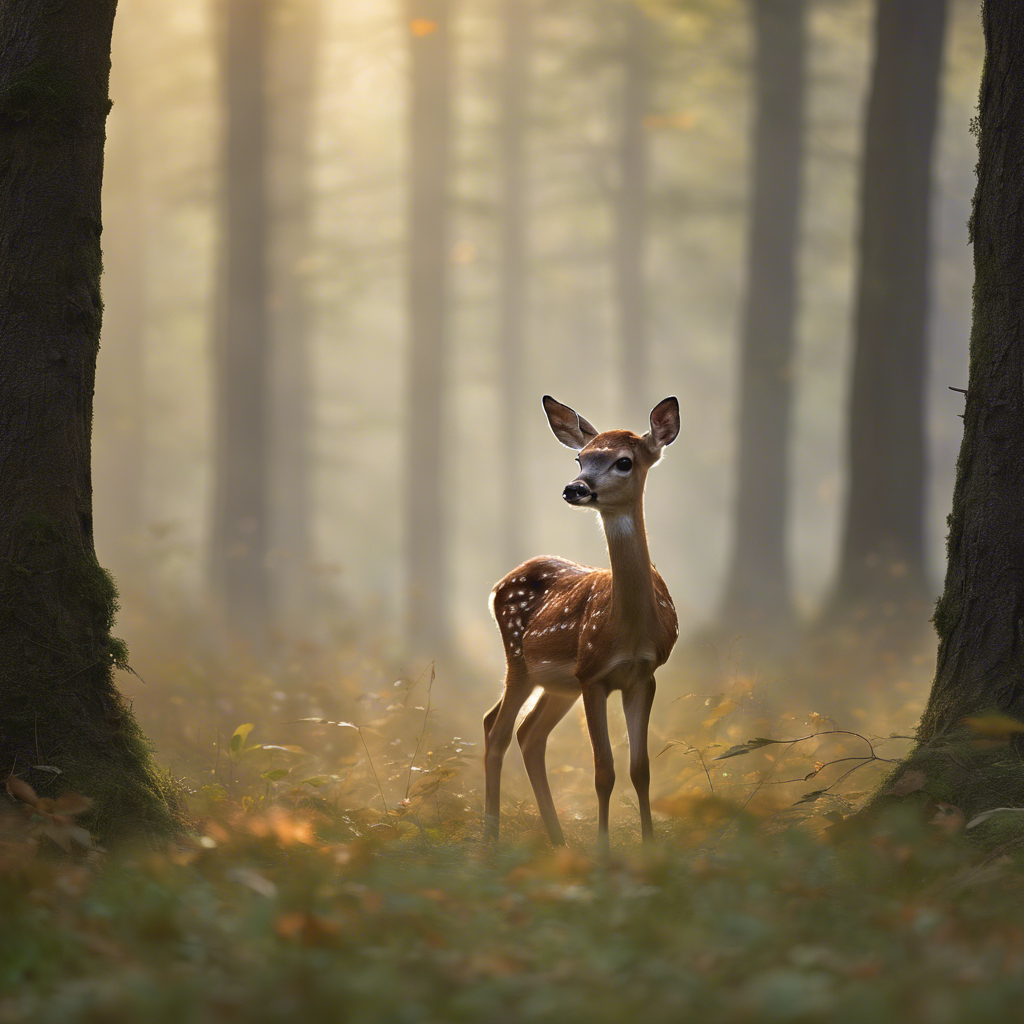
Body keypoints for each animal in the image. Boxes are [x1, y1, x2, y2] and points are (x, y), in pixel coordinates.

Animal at [484, 395, 680, 846]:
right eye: (580, 457)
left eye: (624, 461)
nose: (575, 488)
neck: (627, 632)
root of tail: (498, 585)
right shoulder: (592, 675)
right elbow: (603, 772)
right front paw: (603, 850)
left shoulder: (644, 674)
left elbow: (640, 770)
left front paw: (649, 847)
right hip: (520, 661)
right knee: (498, 731)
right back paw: (490, 842)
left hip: (557, 684)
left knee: (527, 733)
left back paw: (557, 840)